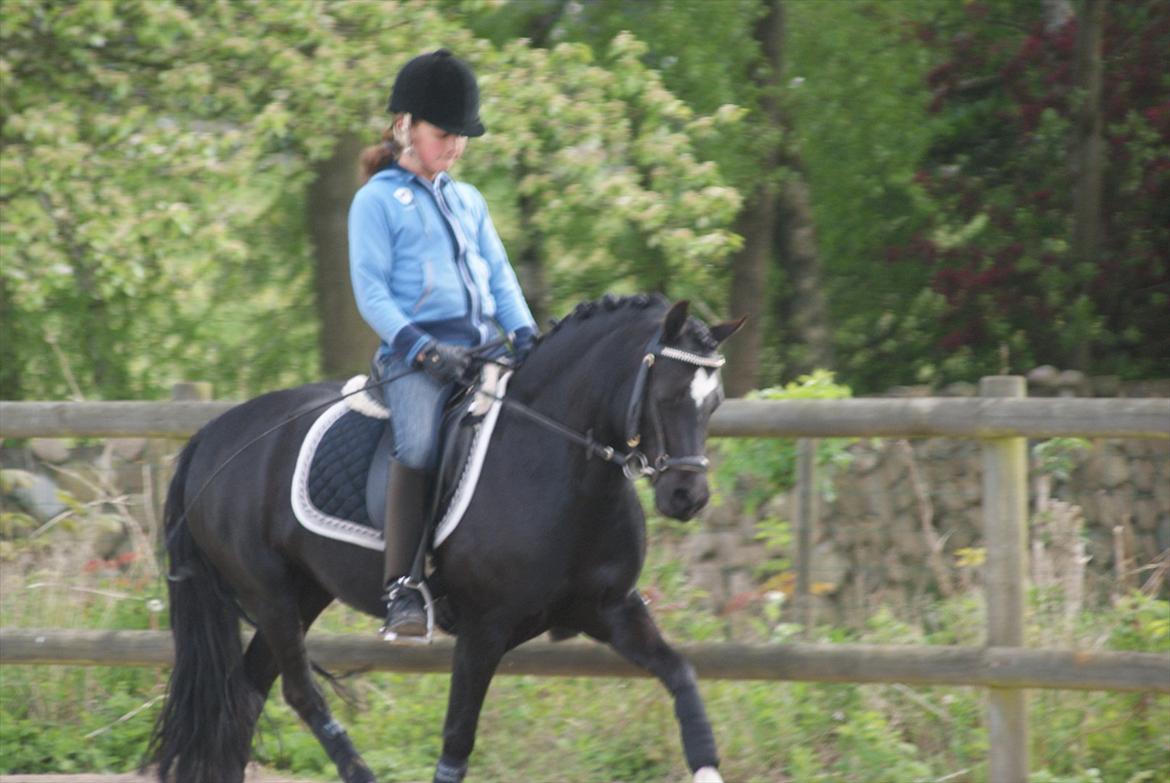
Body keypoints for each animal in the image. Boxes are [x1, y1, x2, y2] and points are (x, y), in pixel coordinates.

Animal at [150, 294, 744, 781]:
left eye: (714, 401)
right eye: (668, 394)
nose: (688, 497)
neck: (563, 466)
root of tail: (213, 434)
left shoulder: (612, 609)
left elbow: (682, 674)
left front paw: (706, 763)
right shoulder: (485, 630)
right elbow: (458, 739)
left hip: (305, 592)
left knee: (245, 695)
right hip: (269, 593)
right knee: (297, 692)